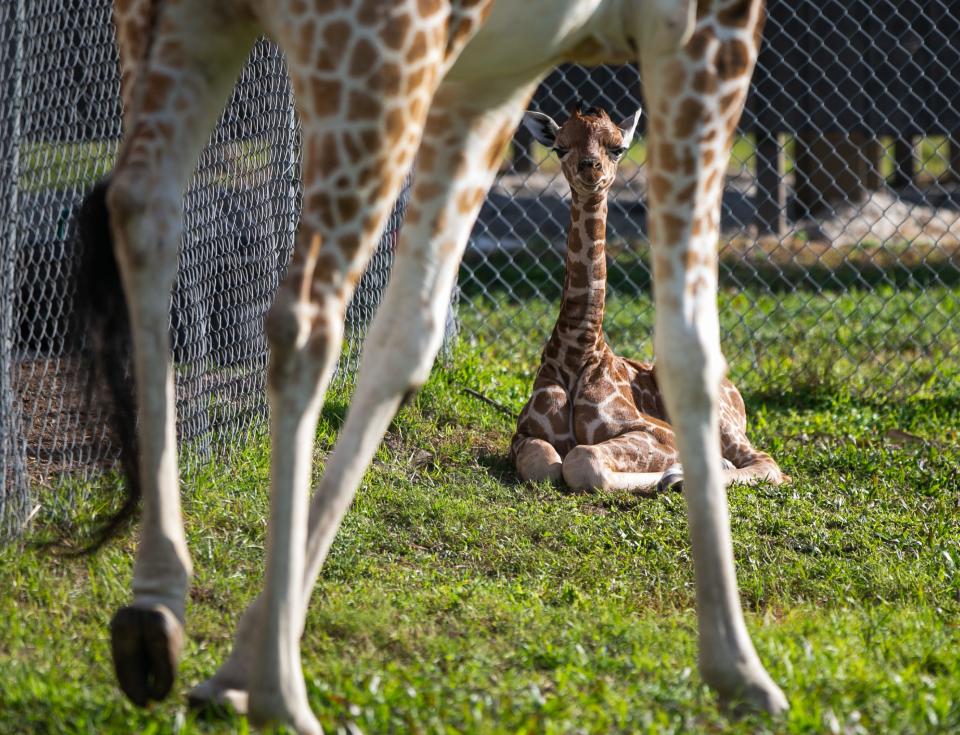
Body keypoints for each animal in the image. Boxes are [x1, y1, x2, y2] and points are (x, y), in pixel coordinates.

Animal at [510, 103, 788, 494]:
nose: (590, 168)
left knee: (768, 463)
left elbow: (582, 460)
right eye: (560, 147)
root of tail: (736, 392)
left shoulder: (655, 433)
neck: (577, 350)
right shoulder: (523, 433)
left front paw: (672, 475)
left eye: (617, 148)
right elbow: (546, 466)